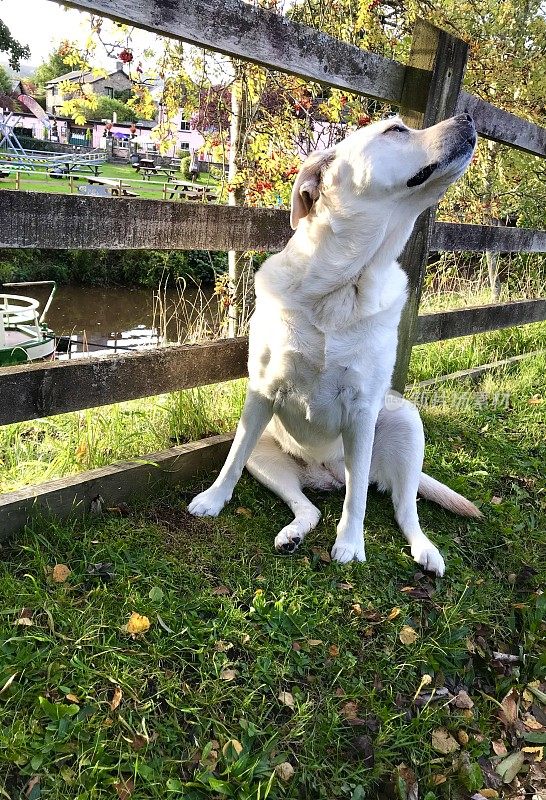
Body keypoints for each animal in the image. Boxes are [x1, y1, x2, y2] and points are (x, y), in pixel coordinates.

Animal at [189, 112, 478, 576]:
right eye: (396, 131)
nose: (468, 117)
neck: (343, 283)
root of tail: (325, 475)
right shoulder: (261, 392)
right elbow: (230, 460)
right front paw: (213, 500)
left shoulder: (361, 410)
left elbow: (357, 499)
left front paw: (351, 544)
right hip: (265, 451)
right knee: (307, 506)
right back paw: (292, 534)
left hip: (404, 420)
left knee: (403, 509)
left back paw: (426, 550)